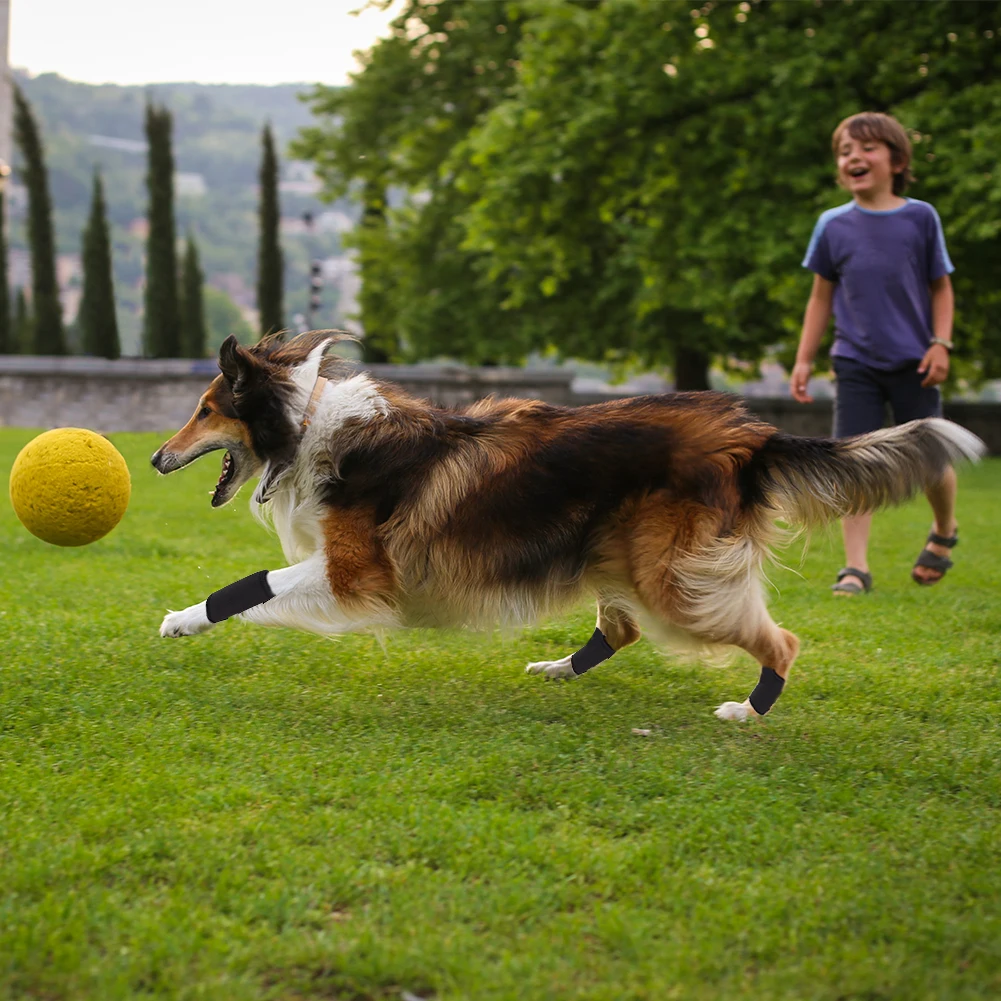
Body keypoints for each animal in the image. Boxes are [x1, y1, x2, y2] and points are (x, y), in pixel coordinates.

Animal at [150, 334, 984, 720]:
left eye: (206, 408)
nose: (156, 457)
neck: (307, 424)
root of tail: (749, 436)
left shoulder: (357, 571)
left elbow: (252, 584)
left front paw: (182, 618)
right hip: (615, 553)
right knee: (620, 628)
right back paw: (556, 668)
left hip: (673, 578)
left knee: (779, 639)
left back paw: (746, 710)